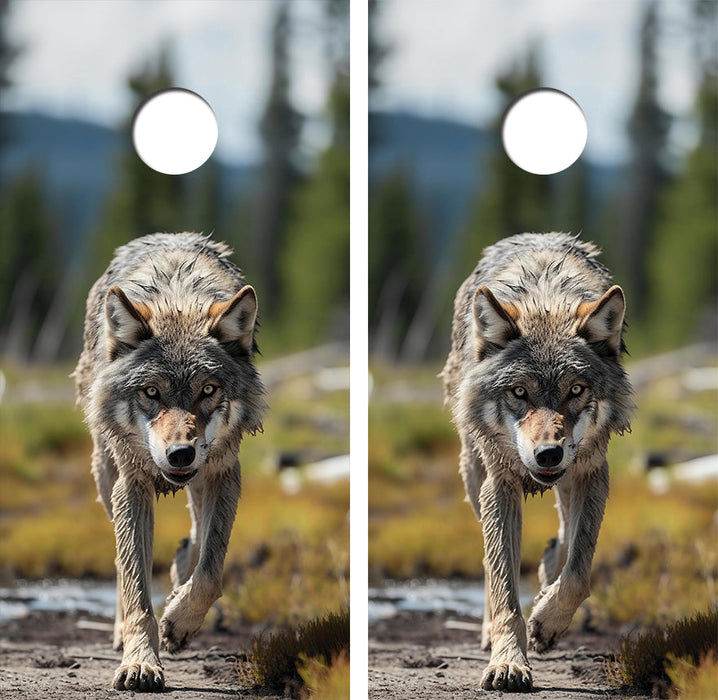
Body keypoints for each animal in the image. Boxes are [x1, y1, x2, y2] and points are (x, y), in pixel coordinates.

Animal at [73, 232, 266, 692]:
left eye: (208, 390)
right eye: (151, 392)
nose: (180, 453)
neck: (178, 299)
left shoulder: (224, 472)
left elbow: (211, 570)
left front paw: (179, 622)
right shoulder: (132, 484)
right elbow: (137, 584)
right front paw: (140, 662)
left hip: (204, 475)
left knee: (196, 535)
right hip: (106, 475)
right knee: (122, 562)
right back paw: (121, 629)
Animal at [441, 232, 634, 692]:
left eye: (576, 390)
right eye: (519, 392)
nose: (548, 453)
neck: (546, 298)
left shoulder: (592, 472)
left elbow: (579, 571)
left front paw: (546, 623)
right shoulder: (501, 484)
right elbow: (504, 585)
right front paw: (508, 662)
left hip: (572, 475)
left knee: (564, 535)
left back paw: (547, 574)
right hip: (474, 475)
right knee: (490, 561)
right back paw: (489, 630)